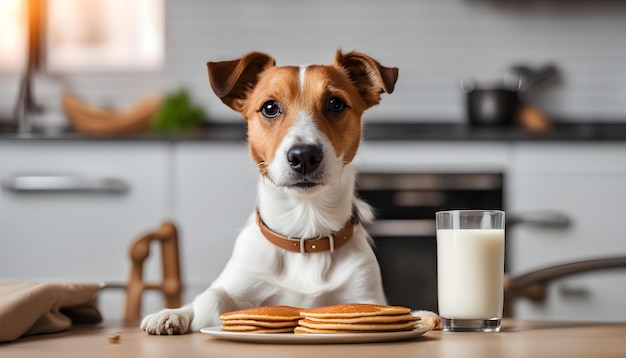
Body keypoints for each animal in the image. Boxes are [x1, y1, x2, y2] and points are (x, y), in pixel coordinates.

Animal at [141, 51, 434, 336]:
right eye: (270, 108)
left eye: (335, 104)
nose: (304, 156)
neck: (305, 229)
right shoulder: (241, 279)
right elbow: (209, 296)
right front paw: (175, 314)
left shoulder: (365, 295)